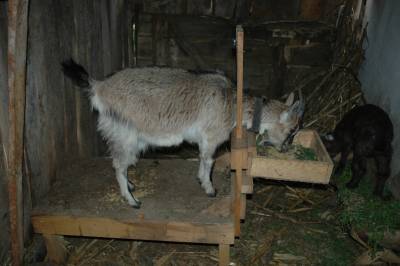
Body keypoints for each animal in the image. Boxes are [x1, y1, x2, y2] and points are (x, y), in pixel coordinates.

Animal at [61, 59, 304, 209]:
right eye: (292, 130)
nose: (285, 148)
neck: (232, 105)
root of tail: (98, 87)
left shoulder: (204, 139)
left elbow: (202, 158)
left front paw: (200, 180)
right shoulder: (211, 136)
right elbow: (209, 161)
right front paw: (209, 188)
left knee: (120, 163)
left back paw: (130, 186)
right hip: (125, 134)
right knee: (119, 165)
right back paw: (132, 201)